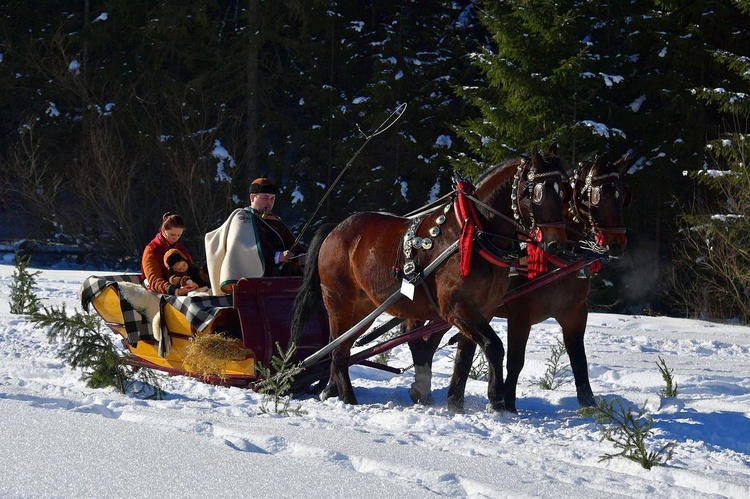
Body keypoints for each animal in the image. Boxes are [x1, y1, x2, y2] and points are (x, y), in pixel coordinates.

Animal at [292, 146, 568, 410]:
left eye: (565, 191)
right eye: (539, 193)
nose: (556, 245)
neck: (473, 231)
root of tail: (335, 229)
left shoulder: (483, 310)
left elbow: (466, 355)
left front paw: (461, 403)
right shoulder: (456, 308)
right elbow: (494, 346)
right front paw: (497, 403)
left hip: (363, 308)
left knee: (341, 346)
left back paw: (331, 391)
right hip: (338, 300)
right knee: (338, 350)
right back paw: (349, 400)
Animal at [408, 152, 632, 414]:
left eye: (622, 195)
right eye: (598, 197)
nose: (617, 244)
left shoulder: (574, 313)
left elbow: (579, 360)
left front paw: (590, 406)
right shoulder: (520, 314)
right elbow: (516, 361)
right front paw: (508, 404)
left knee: (432, 344)